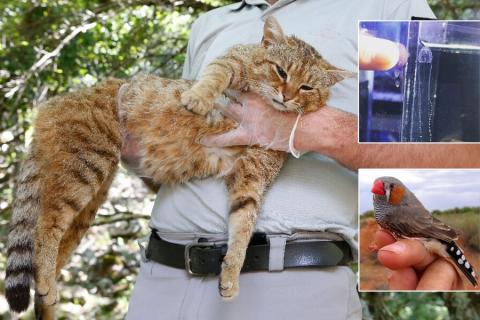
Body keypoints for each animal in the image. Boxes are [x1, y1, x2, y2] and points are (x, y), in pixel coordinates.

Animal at [5, 16, 350, 318]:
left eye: (307, 88)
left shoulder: (251, 176)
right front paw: (197, 97)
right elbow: (215, 74)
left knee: (50, 247)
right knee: (44, 229)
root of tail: (53, 104)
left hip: (89, 197)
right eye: (280, 71)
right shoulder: (234, 60)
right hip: (84, 166)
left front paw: (231, 273)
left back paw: (48, 297)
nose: (286, 96)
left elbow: (243, 224)